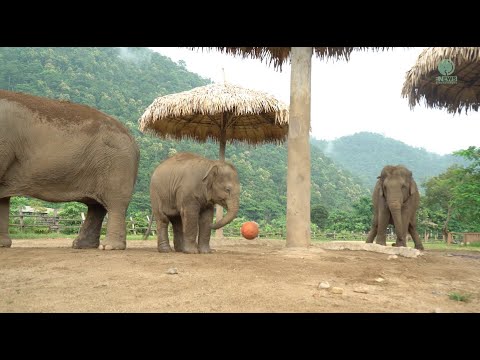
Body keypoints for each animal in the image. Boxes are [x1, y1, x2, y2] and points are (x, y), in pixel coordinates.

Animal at [0, 90, 140, 250]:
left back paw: (109, 247)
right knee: (96, 206)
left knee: (115, 202)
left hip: (118, 163)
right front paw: (2, 245)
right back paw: (81, 245)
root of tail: (134, 140)